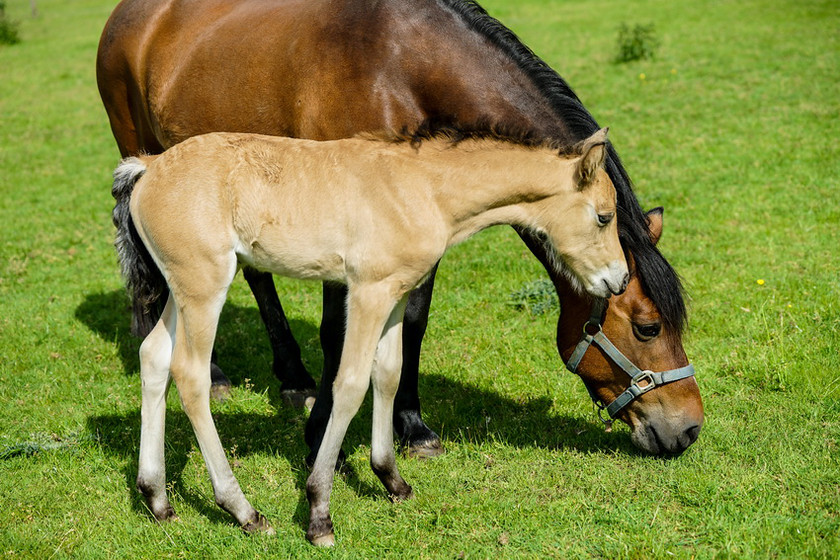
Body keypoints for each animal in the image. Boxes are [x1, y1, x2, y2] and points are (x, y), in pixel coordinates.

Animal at [97, 0, 704, 456]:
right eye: (647, 327)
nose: (689, 427)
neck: (399, 67)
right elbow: (337, 332)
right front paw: (325, 436)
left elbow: (412, 324)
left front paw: (411, 426)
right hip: (144, 150)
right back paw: (221, 372)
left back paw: (292, 377)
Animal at [115, 127, 632, 544]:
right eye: (604, 217)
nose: (619, 279)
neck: (424, 186)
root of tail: (149, 167)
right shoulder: (366, 291)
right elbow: (349, 385)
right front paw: (319, 513)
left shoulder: (396, 295)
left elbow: (388, 374)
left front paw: (391, 480)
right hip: (204, 286)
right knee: (191, 375)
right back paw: (243, 511)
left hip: (181, 290)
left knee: (153, 357)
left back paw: (157, 499)